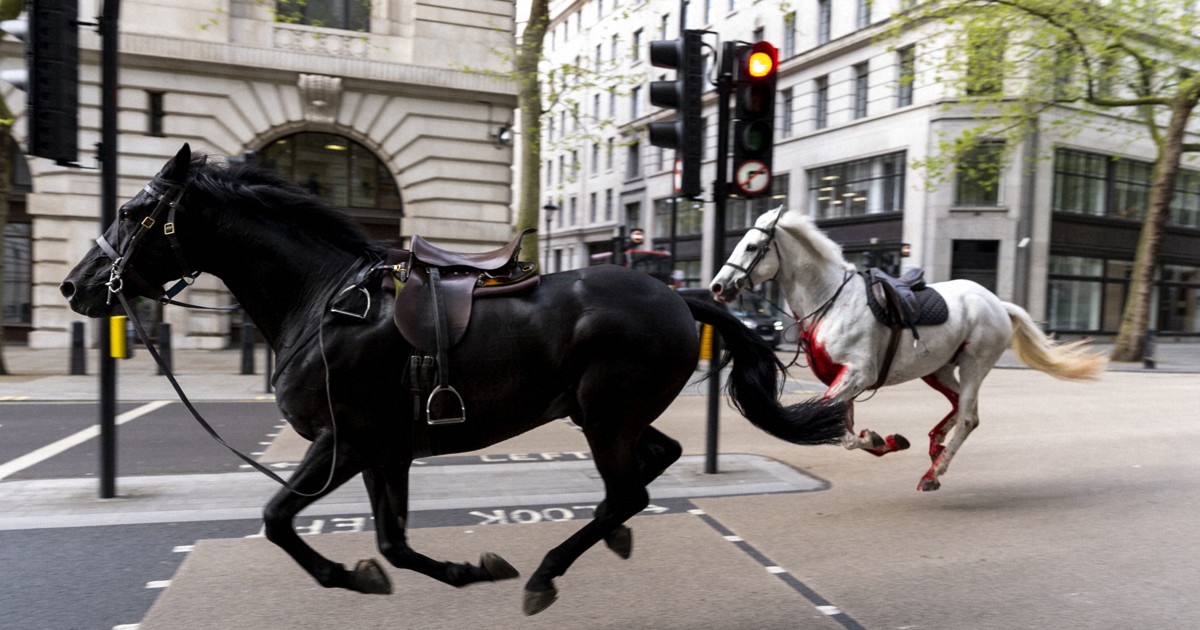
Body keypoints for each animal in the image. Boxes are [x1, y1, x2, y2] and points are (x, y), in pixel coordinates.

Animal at [60, 145, 849, 612]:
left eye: (132, 210)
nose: (75, 286)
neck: (321, 301)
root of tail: (681, 297)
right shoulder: (385, 451)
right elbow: (392, 544)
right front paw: (460, 570)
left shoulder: (344, 442)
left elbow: (279, 518)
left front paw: (349, 576)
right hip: (605, 414)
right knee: (653, 464)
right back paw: (607, 538)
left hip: (603, 414)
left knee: (628, 488)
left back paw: (548, 572)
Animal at [710, 207, 1104, 492]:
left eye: (750, 246)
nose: (717, 286)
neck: (831, 301)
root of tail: (996, 302)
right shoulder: (843, 378)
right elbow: (842, 426)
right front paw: (883, 440)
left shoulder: (857, 373)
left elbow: (836, 427)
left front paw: (876, 438)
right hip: (938, 369)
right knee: (961, 406)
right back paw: (935, 447)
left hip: (975, 364)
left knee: (968, 417)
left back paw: (933, 472)